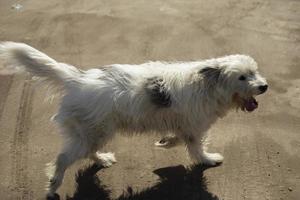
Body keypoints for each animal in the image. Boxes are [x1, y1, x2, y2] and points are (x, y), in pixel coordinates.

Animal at [0, 41, 268, 197]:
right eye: (242, 77)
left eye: (254, 72)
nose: (264, 86)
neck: (208, 85)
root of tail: (77, 79)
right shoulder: (195, 126)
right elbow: (195, 147)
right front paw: (208, 160)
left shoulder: (186, 124)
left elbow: (179, 138)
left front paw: (166, 142)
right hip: (94, 131)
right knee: (64, 158)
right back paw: (53, 186)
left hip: (93, 132)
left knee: (87, 152)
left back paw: (102, 159)